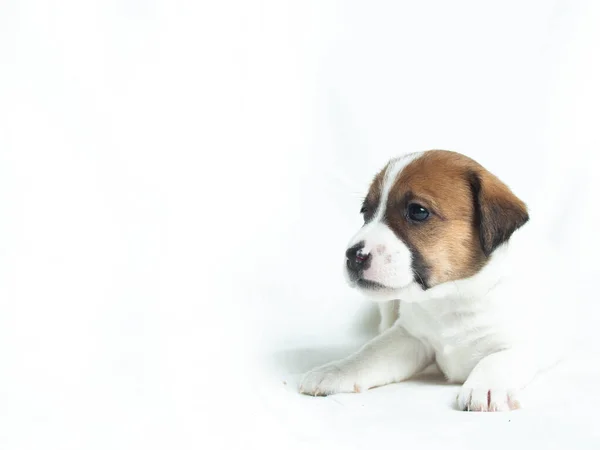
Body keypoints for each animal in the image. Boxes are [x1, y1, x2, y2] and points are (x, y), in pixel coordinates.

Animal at [300, 150, 568, 412]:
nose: (353, 256)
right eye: (366, 212)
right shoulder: (409, 337)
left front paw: (484, 387)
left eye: (418, 212)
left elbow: (498, 359)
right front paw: (335, 370)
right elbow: (369, 354)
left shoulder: (524, 344)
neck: (451, 298)